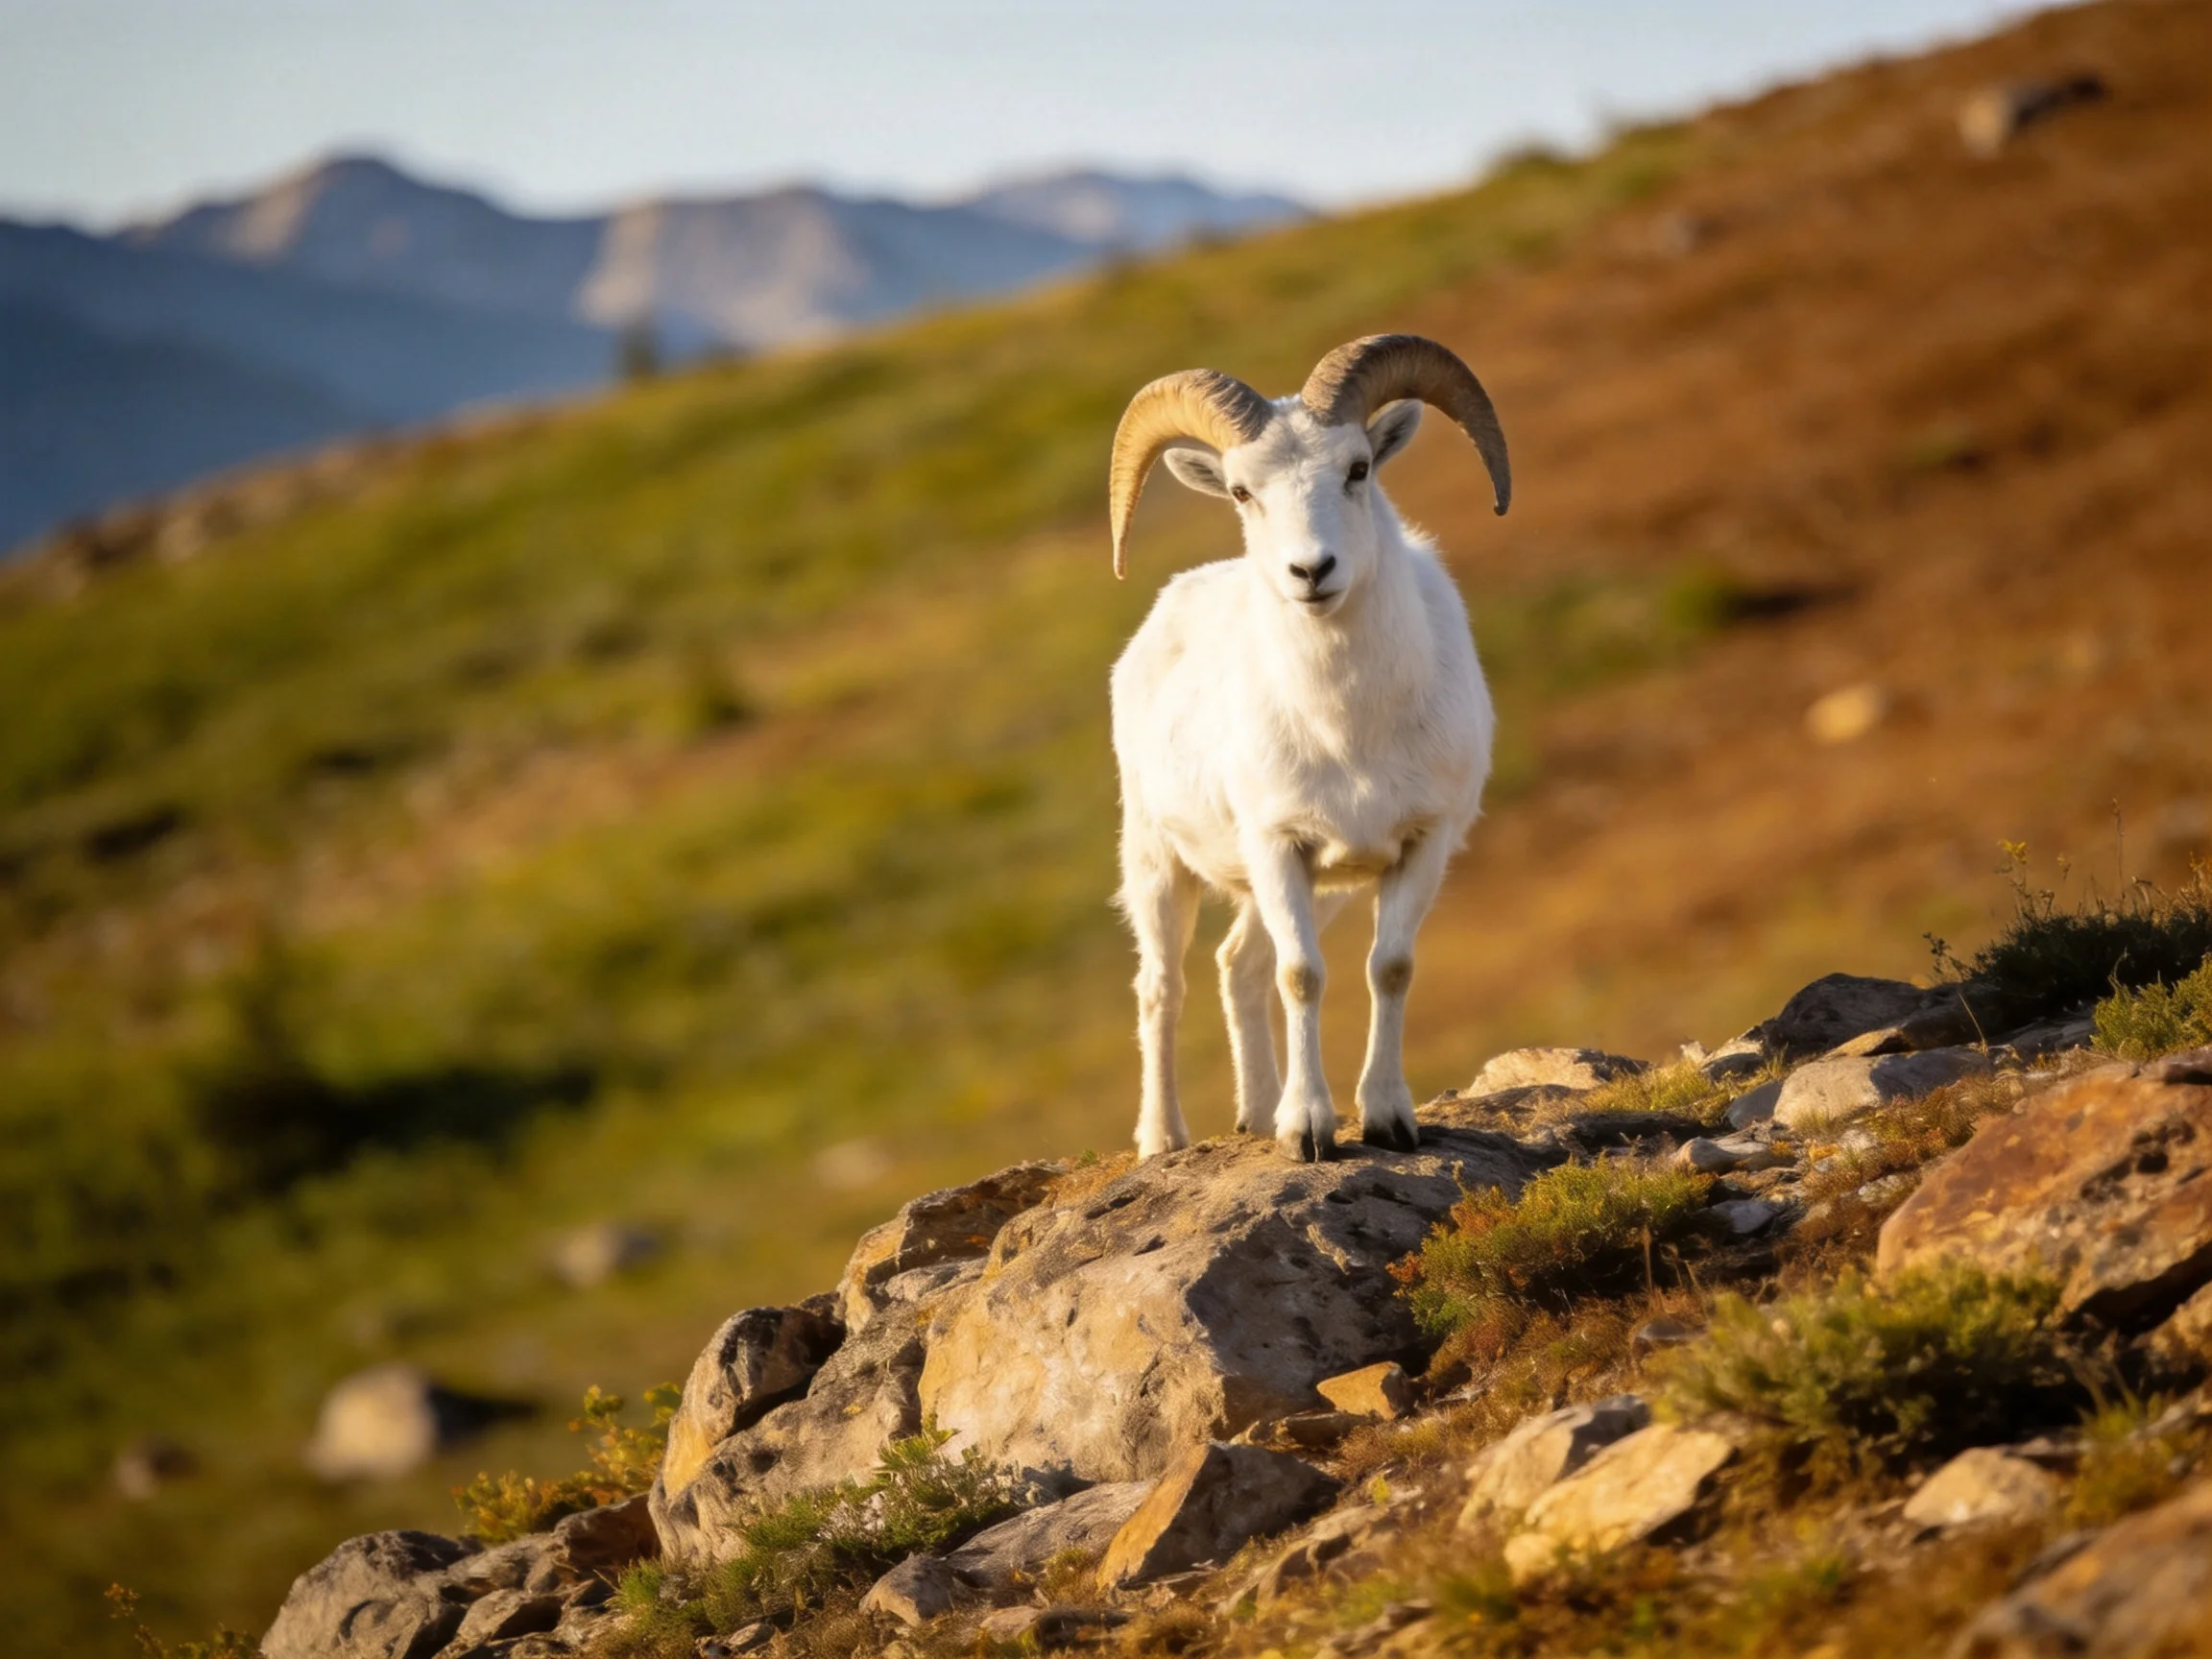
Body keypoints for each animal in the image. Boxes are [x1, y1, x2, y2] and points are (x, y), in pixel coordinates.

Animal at [1105, 335, 1510, 1161]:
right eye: (1239, 492)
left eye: (1357, 468)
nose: (1312, 571)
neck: (1348, 730)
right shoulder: (1276, 845)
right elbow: (1303, 978)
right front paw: (1309, 1133)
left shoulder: (1419, 846)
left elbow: (1389, 969)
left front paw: (1387, 1120)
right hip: (1157, 860)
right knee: (1164, 986)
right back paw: (1164, 1138)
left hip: (1316, 889)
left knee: (1239, 967)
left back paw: (1254, 1117)